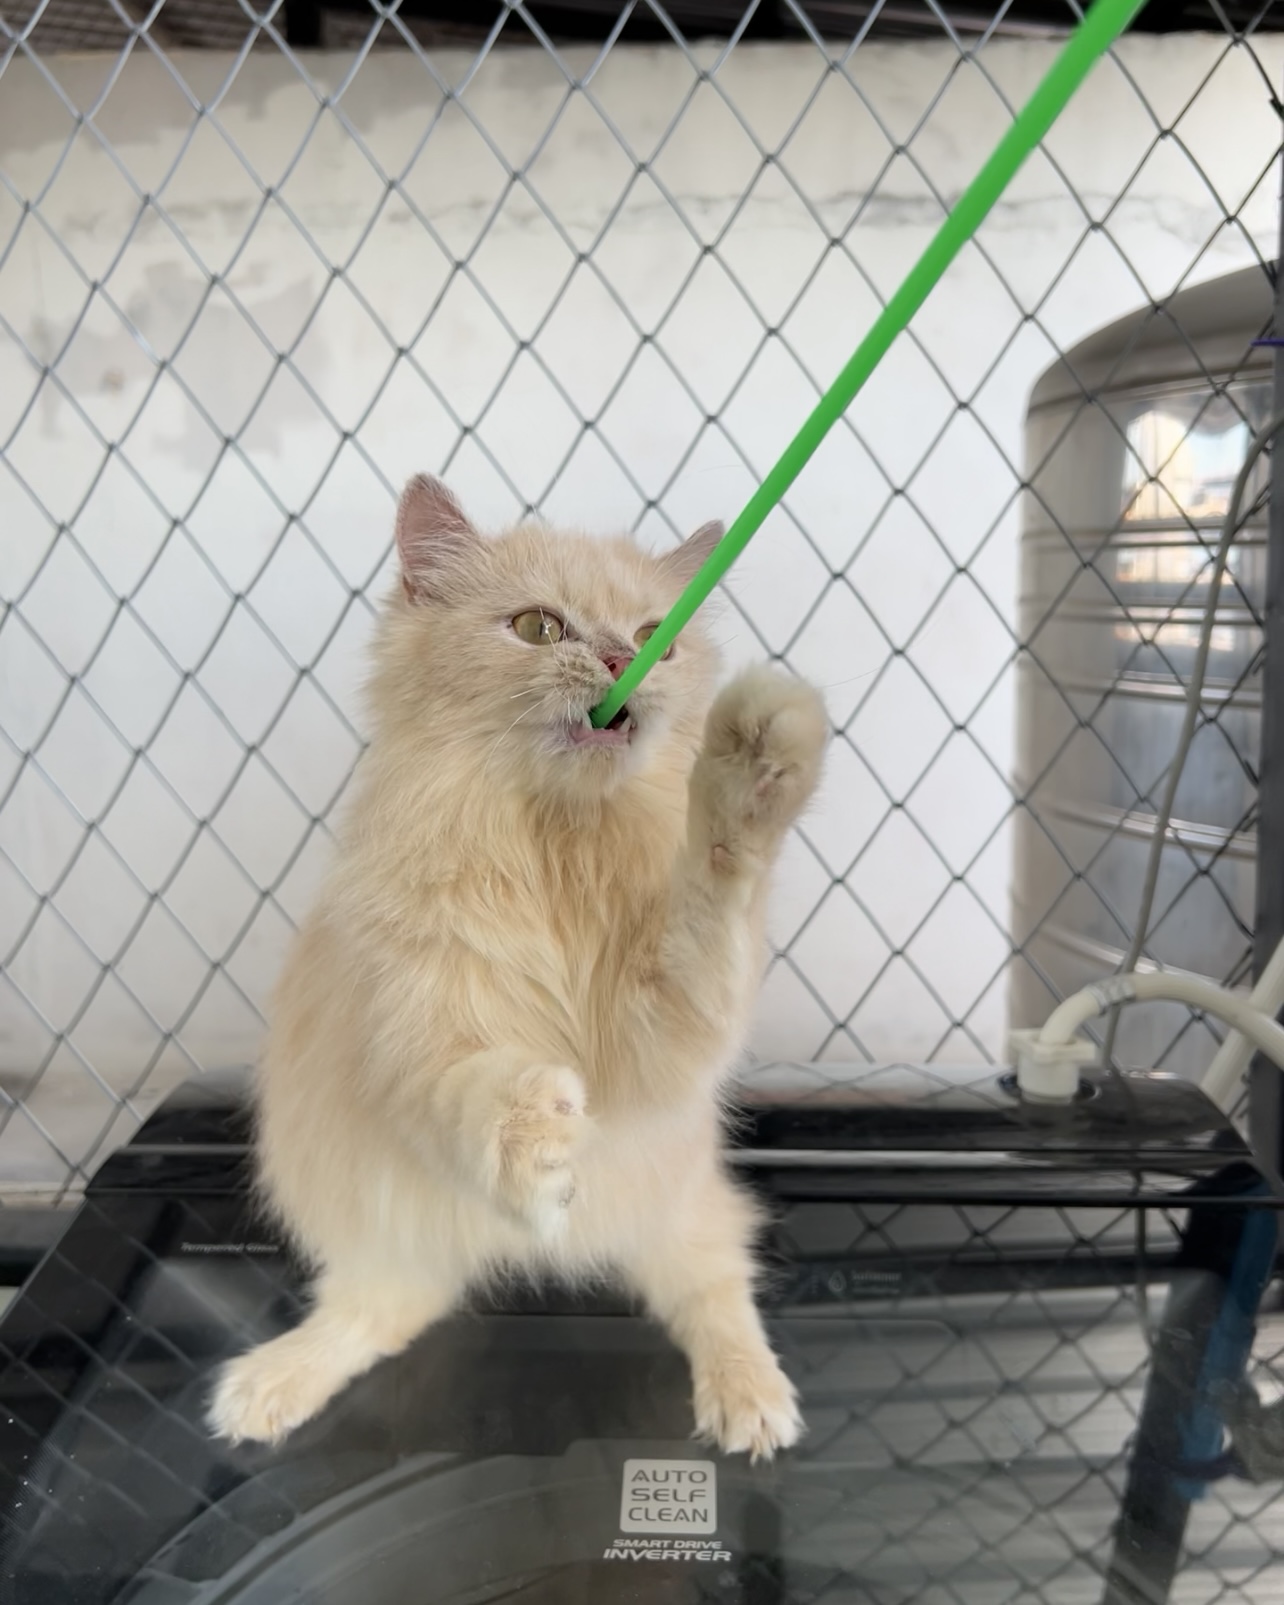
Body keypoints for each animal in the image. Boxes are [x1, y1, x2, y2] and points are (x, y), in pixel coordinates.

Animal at [207, 474, 828, 1460]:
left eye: (657, 638)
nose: (619, 659)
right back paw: (265, 1388)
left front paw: (753, 767)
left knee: (717, 1291)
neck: (555, 846)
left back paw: (750, 1402)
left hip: (681, 1214)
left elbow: (717, 879)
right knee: (380, 1314)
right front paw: (540, 1147)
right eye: (540, 628)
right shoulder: (417, 1038)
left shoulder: (660, 1035)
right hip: (389, 1243)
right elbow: (475, 1095)